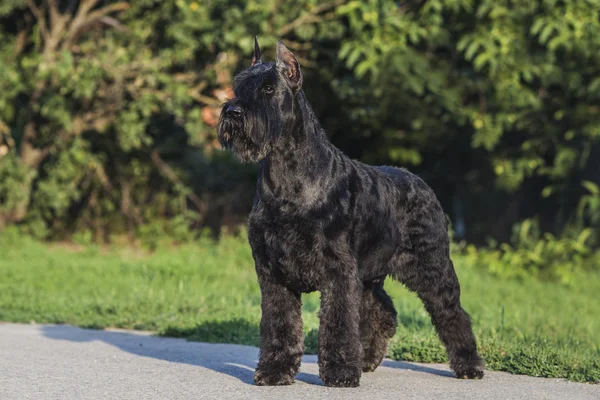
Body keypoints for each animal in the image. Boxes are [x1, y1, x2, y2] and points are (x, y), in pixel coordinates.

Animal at [218, 39, 486, 386]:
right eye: (238, 86)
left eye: (267, 88)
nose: (233, 111)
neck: (288, 174)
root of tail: (423, 184)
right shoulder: (273, 271)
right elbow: (280, 324)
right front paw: (275, 371)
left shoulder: (338, 270)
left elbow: (338, 322)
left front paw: (341, 372)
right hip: (370, 274)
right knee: (383, 310)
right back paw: (368, 358)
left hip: (432, 266)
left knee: (452, 312)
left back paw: (469, 365)